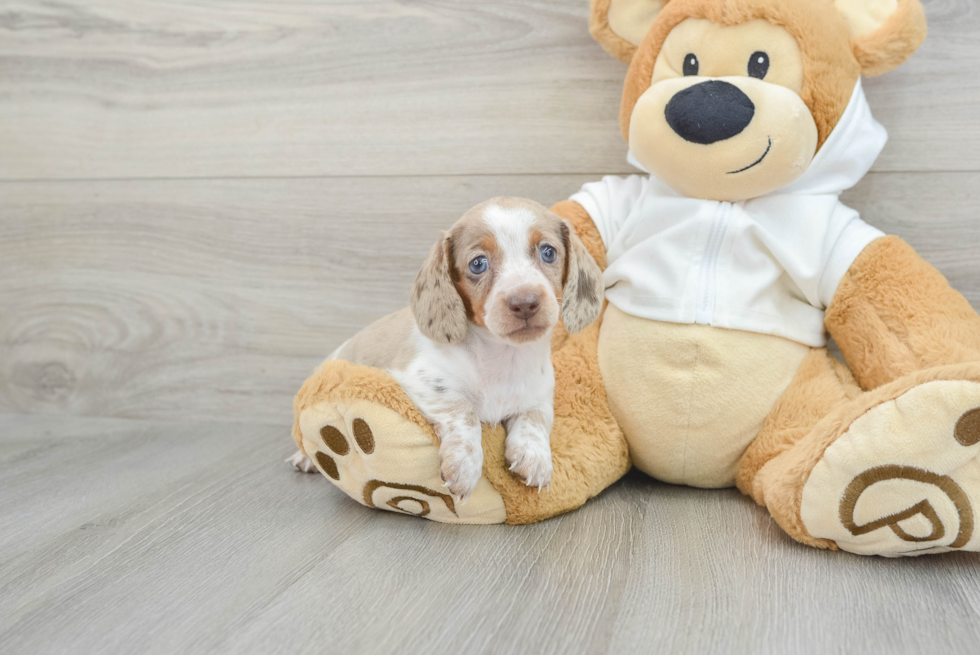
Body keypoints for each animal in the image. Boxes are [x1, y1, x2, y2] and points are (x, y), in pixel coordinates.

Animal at [288, 197, 600, 500]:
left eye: (548, 252)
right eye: (478, 264)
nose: (525, 302)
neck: (502, 355)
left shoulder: (539, 397)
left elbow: (534, 420)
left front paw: (534, 458)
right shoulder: (420, 380)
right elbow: (464, 411)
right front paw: (464, 465)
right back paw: (305, 458)